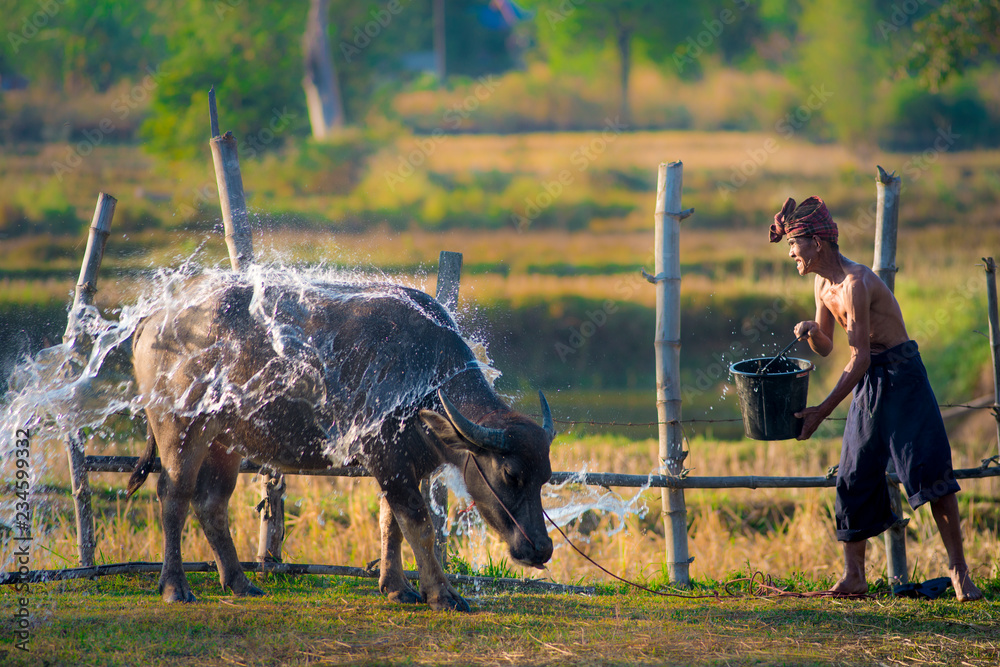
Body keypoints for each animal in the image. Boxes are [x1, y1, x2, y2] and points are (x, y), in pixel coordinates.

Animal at [127, 272, 556, 612]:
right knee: (174, 496)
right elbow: (419, 525)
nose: (542, 549)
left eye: (545, 477)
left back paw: (240, 582)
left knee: (211, 503)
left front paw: (397, 588)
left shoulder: (400, 466)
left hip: (225, 441)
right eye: (511, 474)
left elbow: (391, 522)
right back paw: (175, 586)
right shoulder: (388, 460)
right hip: (179, 427)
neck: (424, 382)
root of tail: (157, 318)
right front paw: (442, 594)